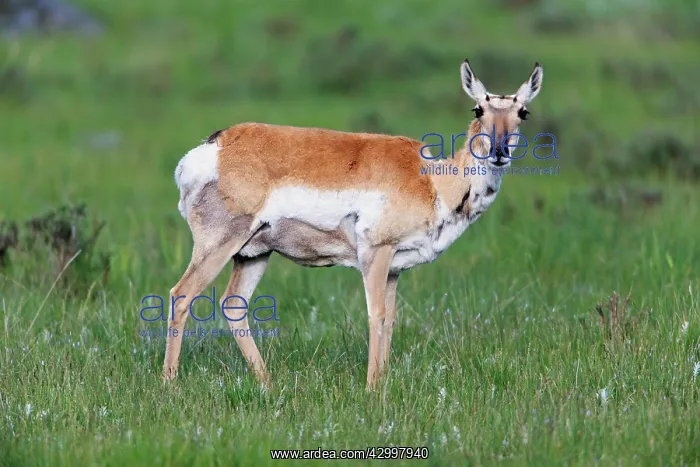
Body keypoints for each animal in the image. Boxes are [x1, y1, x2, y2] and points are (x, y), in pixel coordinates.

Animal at [164, 59, 543, 389]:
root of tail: (215, 145)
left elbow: (391, 319)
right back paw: (170, 384)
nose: (498, 152)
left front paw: (384, 382)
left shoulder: (394, 268)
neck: (433, 180)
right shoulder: (375, 253)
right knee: (181, 295)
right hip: (219, 245)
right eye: (478, 109)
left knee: (234, 304)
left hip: (253, 253)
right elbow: (376, 315)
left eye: (522, 112)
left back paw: (268, 383)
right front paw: (372, 388)